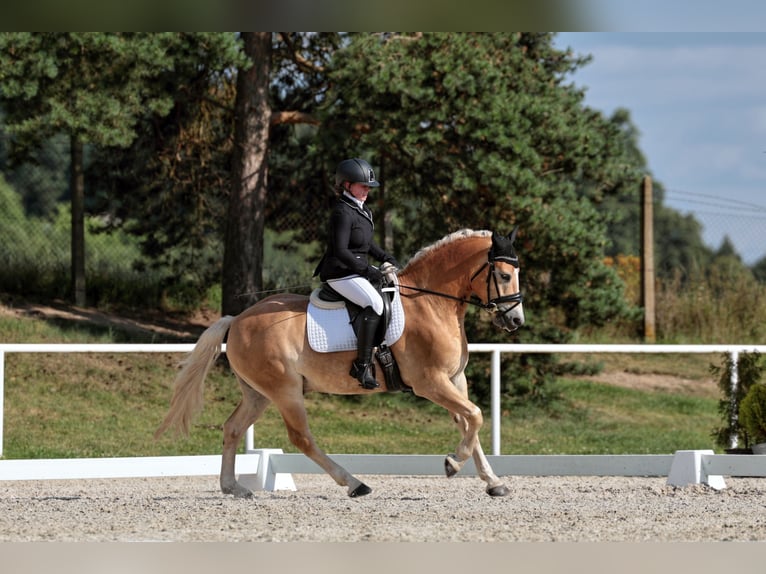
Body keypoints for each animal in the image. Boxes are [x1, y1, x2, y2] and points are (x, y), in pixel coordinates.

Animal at [156, 228, 528, 500]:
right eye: (503, 275)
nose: (515, 321)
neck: (431, 303)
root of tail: (237, 320)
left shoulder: (455, 379)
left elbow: (470, 423)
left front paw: (493, 482)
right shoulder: (430, 382)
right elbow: (475, 416)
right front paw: (452, 463)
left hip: (257, 394)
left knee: (233, 428)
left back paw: (233, 487)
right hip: (285, 390)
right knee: (301, 438)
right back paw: (354, 483)